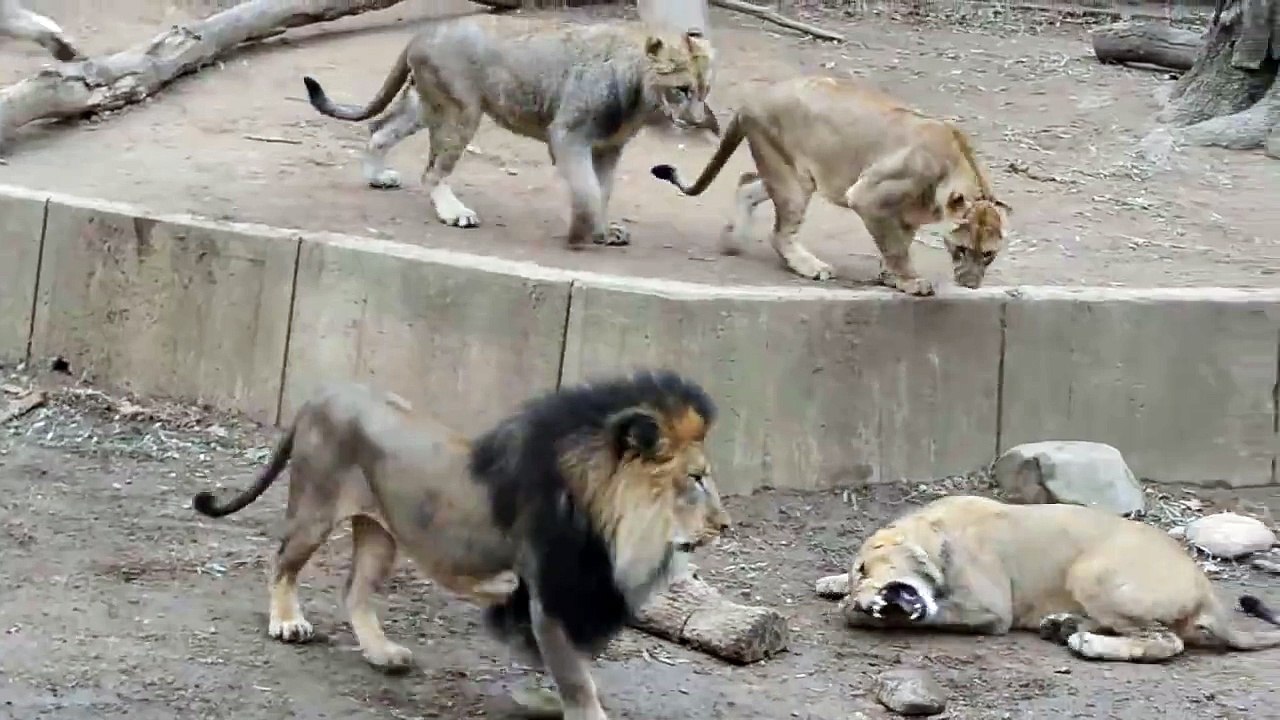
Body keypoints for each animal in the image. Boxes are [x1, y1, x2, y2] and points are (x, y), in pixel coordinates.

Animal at [191, 370, 730, 720]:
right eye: (697, 478)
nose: (724, 526)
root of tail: (320, 395)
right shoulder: (550, 598)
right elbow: (576, 678)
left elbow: (564, 666)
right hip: (315, 508)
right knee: (281, 560)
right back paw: (287, 622)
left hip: (381, 534)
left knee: (354, 591)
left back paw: (382, 654)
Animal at [300, 13, 719, 248]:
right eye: (683, 89)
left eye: (704, 91)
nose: (698, 119)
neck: (642, 100)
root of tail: (422, 34)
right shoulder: (568, 136)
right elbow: (586, 191)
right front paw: (581, 234)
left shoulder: (607, 148)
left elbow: (603, 191)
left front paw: (603, 232)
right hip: (461, 111)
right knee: (433, 170)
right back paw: (454, 213)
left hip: (427, 103)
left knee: (379, 128)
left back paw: (377, 176)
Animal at [649, 75, 1010, 296]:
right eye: (961, 249)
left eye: (989, 255)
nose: (971, 285)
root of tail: (752, 99)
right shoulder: (867, 196)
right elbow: (895, 247)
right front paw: (910, 281)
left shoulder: (904, 215)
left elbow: (899, 244)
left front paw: (891, 277)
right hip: (791, 180)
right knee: (779, 233)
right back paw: (811, 267)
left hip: (793, 174)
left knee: (746, 183)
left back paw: (732, 240)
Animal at [836, 495, 1280, 663]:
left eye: (865, 569)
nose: (868, 604)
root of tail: (1208, 593)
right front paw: (839, 591)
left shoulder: (990, 609)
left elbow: (941, 615)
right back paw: (1062, 624)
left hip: (1092, 571)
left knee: (1166, 642)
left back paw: (1086, 642)